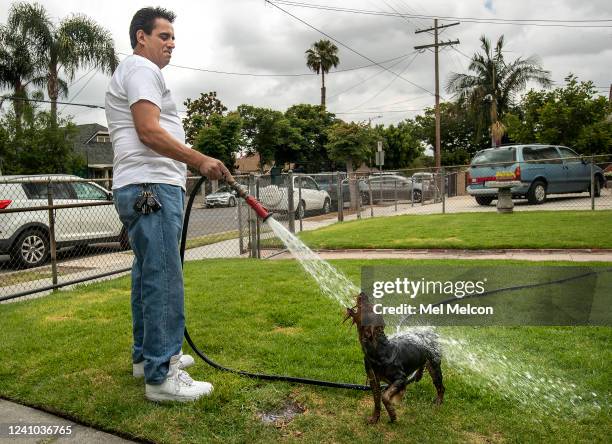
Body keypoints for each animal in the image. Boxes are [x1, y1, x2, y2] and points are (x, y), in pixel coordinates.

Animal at [344, 292, 444, 424]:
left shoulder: (400, 379)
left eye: (369, 307)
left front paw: (392, 415)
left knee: (441, 387)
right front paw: (374, 418)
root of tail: (431, 331)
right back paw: (418, 375)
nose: (363, 293)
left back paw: (438, 403)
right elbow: (377, 401)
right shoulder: (373, 380)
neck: (379, 350)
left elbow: (385, 396)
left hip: (434, 365)